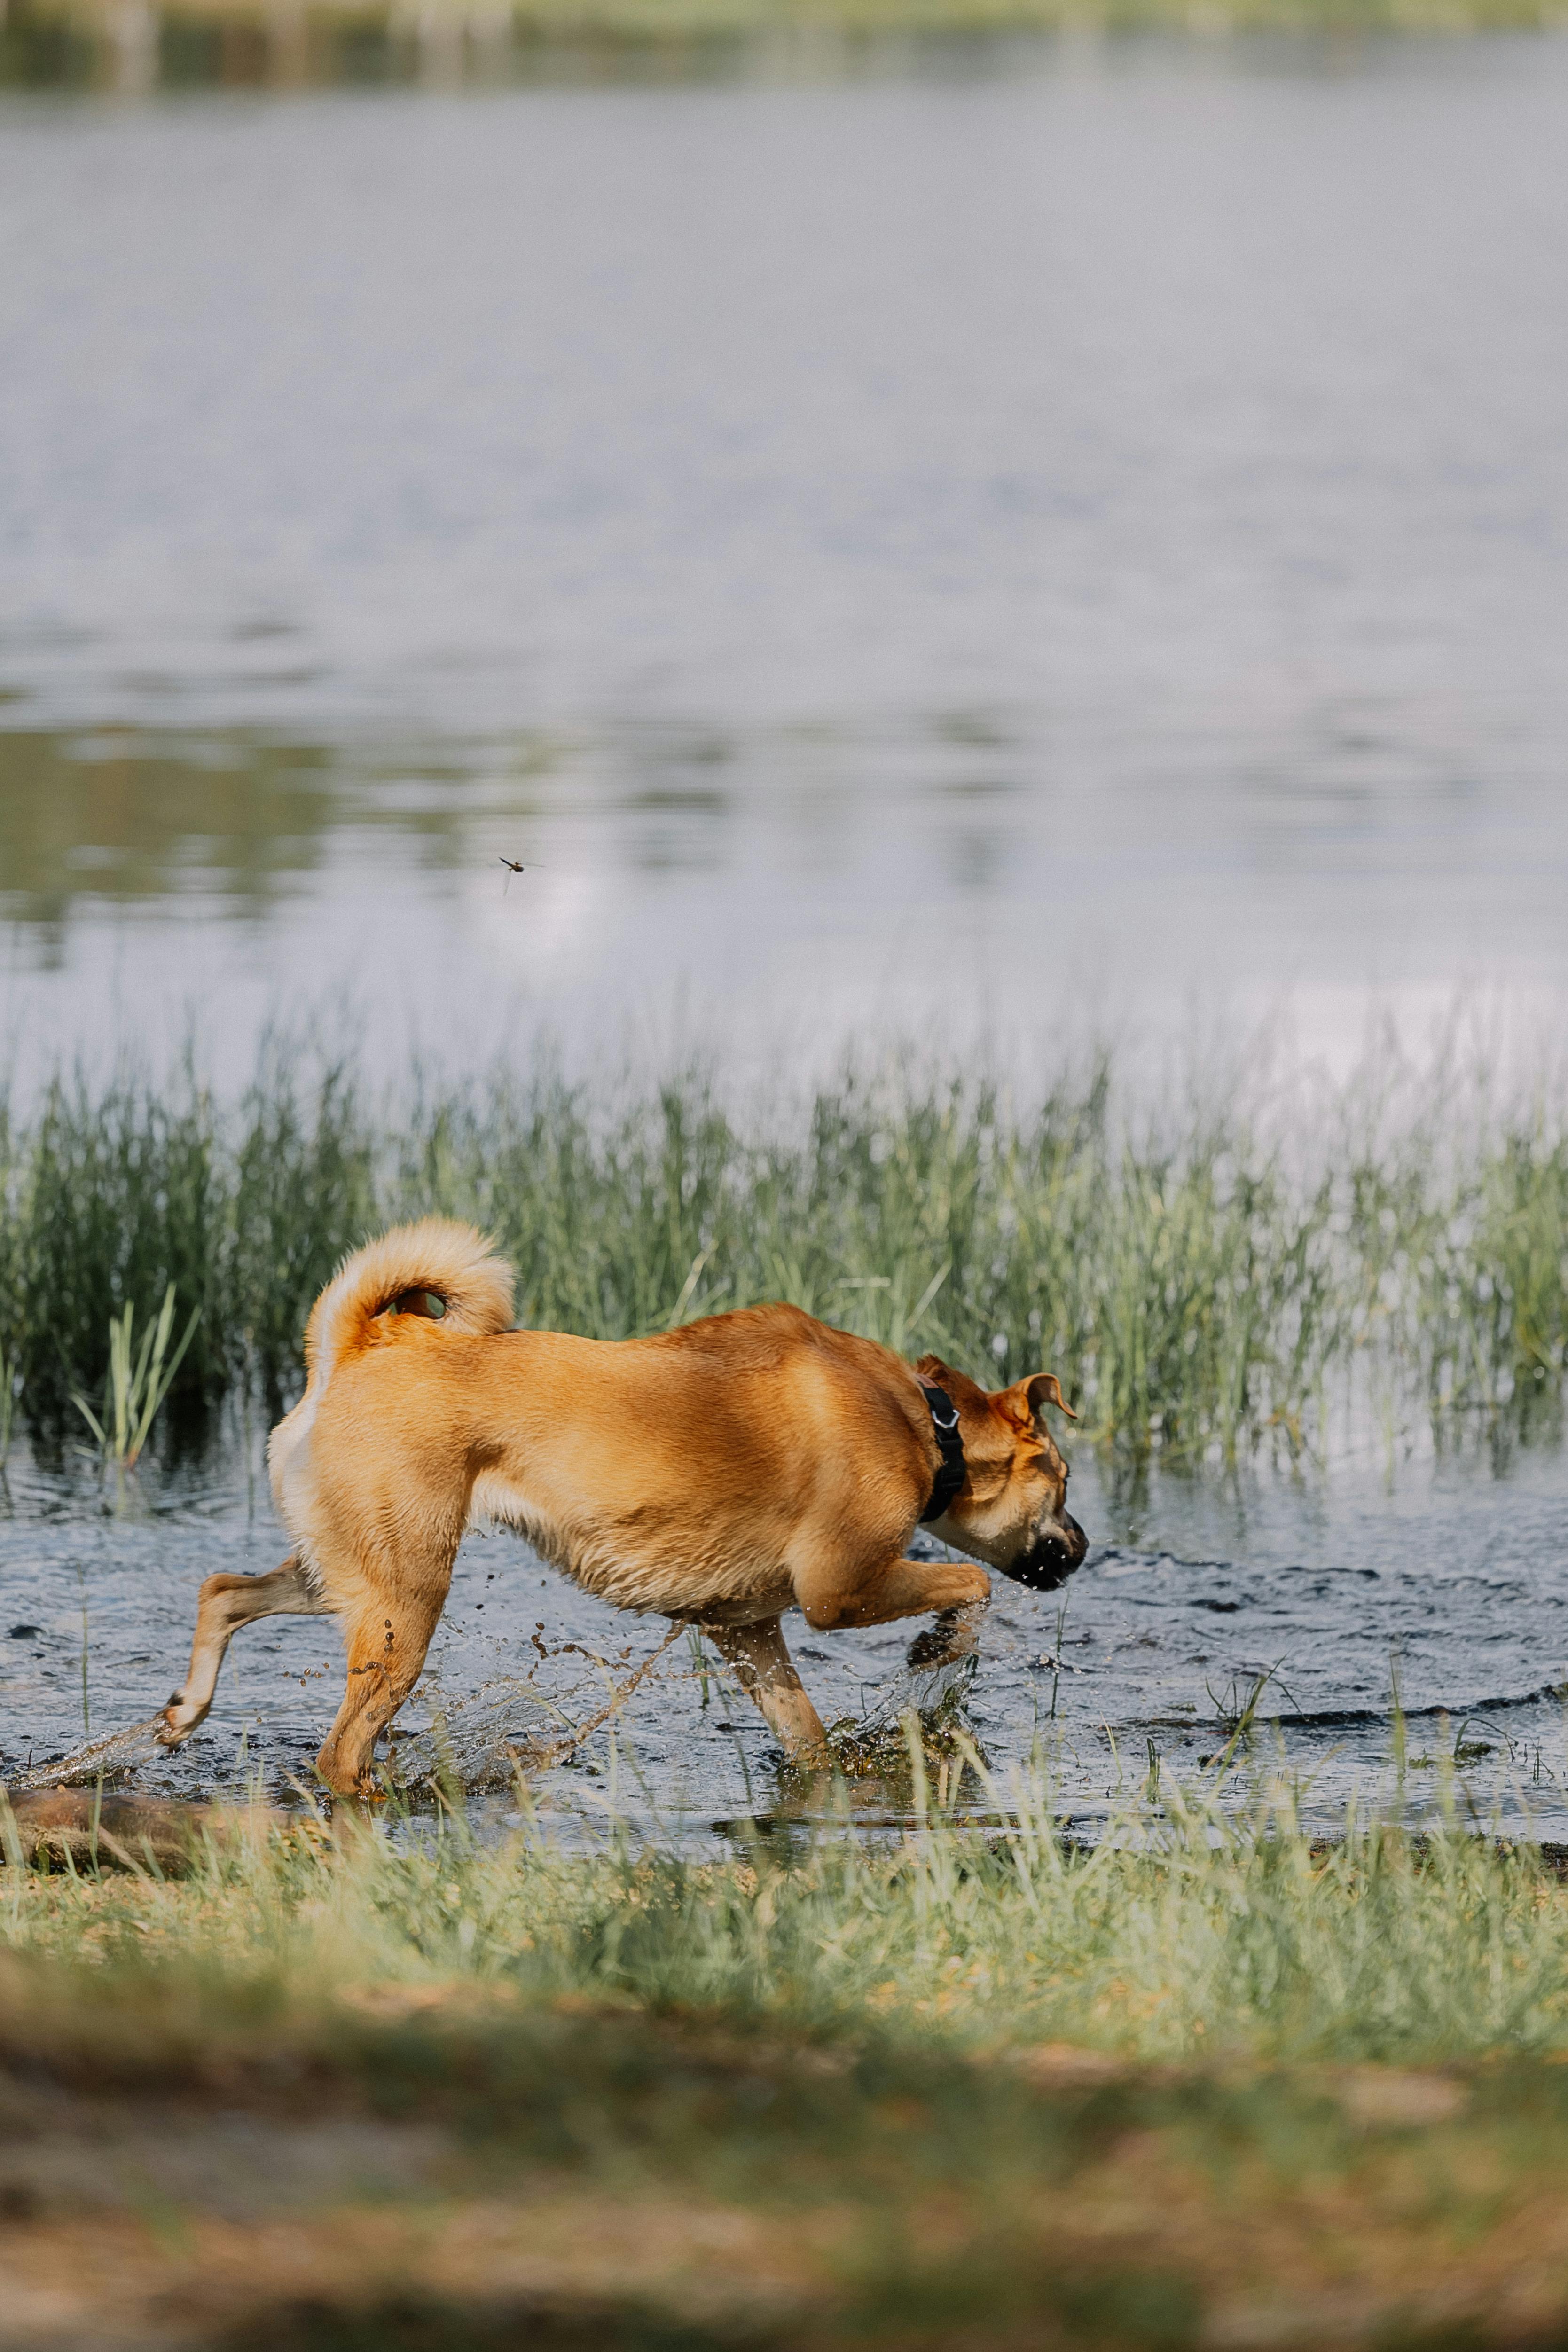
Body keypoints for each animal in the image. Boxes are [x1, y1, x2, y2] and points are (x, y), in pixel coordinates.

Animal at [162, 1223, 1090, 1788]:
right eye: (1065, 1478)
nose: (1082, 1547)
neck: (926, 1421)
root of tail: (364, 1341)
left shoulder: (746, 1629)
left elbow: (808, 1739)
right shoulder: (841, 1589)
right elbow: (973, 1586)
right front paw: (940, 1645)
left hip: (353, 1570)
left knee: (222, 1590)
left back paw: (185, 1711)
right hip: (404, 1603)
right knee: (337, 1753)